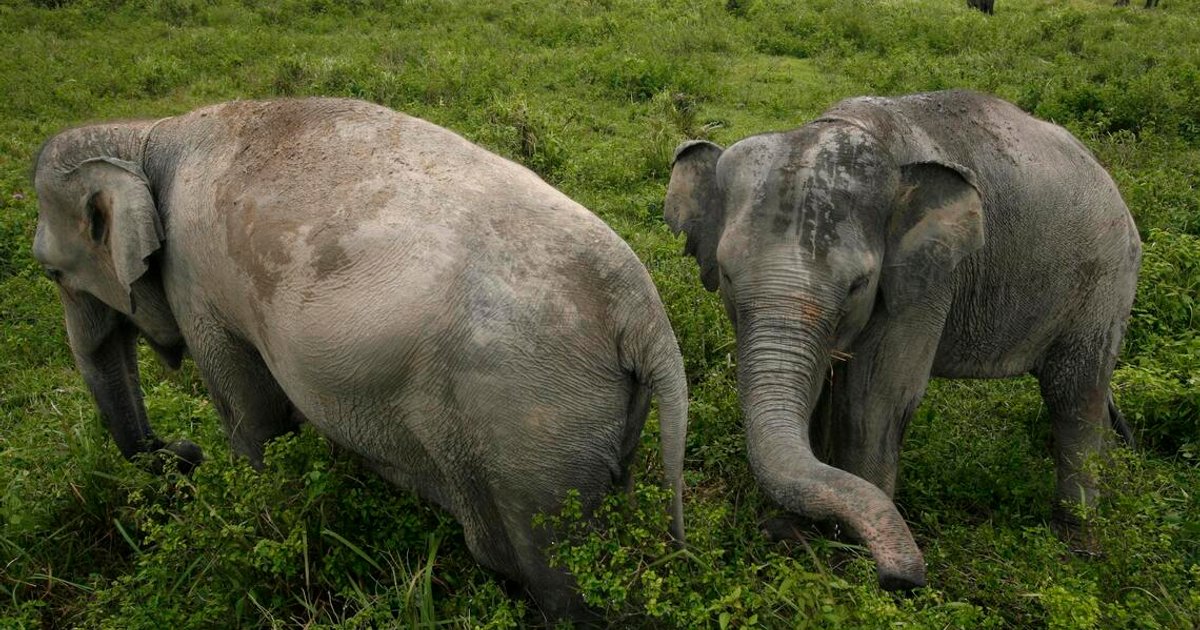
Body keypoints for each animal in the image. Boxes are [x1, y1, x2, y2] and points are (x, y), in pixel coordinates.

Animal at [31, 97, 687, 619]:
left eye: (52, 272)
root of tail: (643, 315)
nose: (183, 452)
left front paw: (257, 501)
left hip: (532, 426)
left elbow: (251, 417)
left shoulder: (197, 287)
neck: (142, 134)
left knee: (556, 572)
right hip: (589, 423)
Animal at [665, 89, 1140, 590]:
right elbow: (820, 391)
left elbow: (874, 398)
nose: (904, 578)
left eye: (857, 286)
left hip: (1105, 282)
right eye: (727, 274)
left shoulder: (927, 279)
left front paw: (849, 562)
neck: (847, 128)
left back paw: (1077, 543)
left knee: (1073, 396)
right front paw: (802, 532)